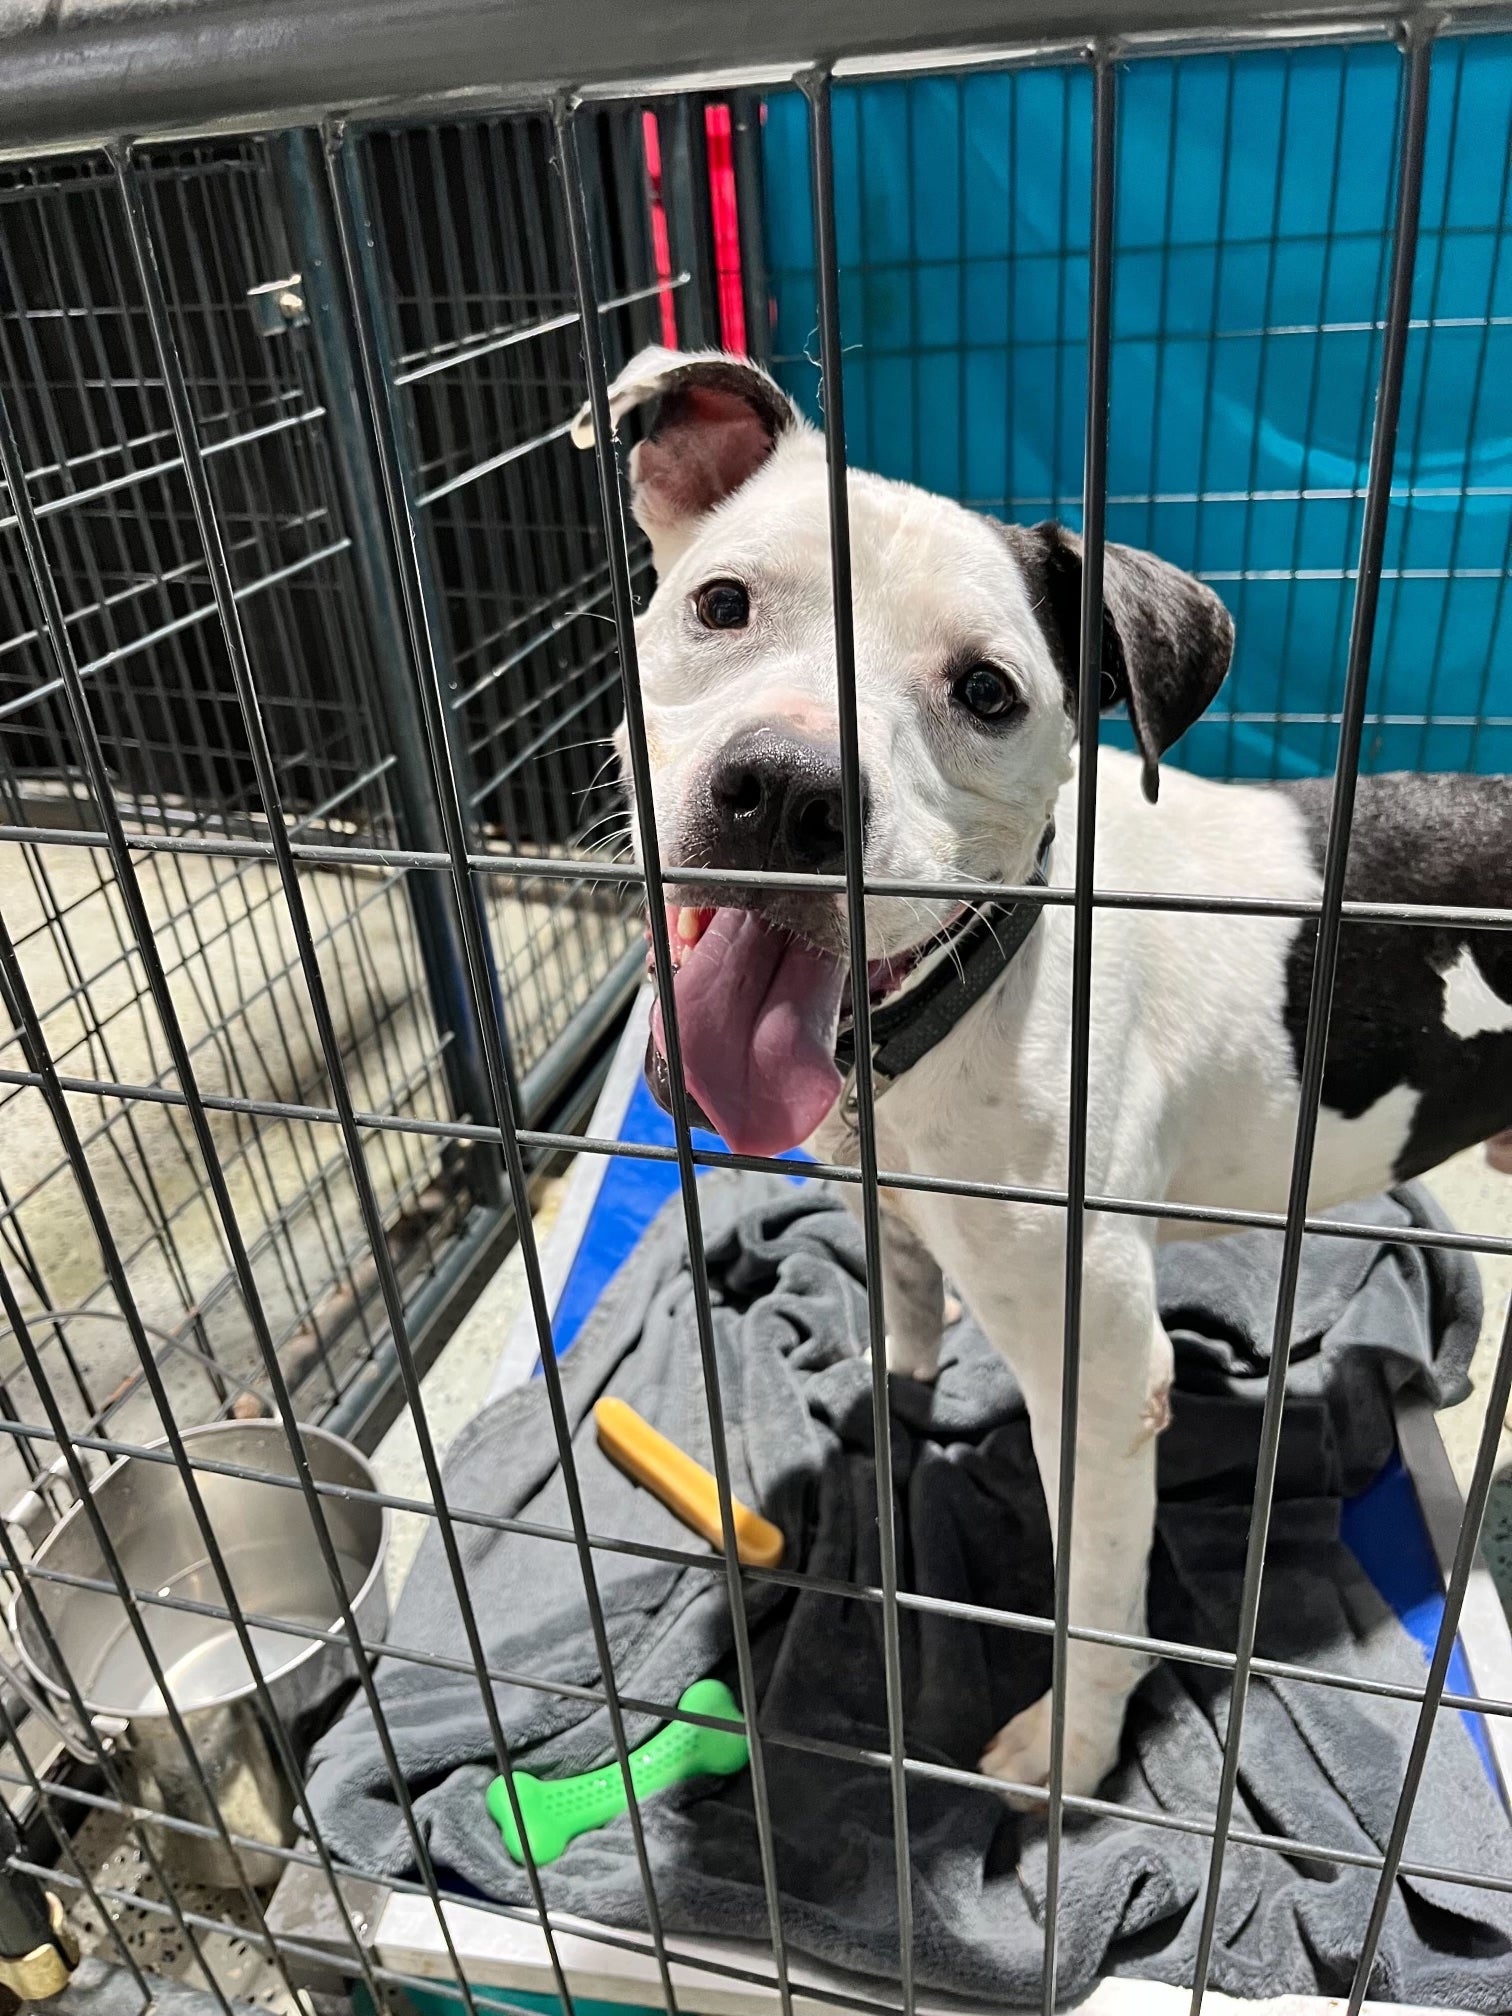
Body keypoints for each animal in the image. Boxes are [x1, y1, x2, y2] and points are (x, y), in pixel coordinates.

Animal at [572, 346, 1512, 1798]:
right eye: (721, 604)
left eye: (987, 694)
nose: (785, 793)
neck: (973, 989)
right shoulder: (905, 1222)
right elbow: (907, 1334)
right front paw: (885, 1425)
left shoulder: (1104, 1384)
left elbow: (1101, 1602)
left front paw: (1071, 1754)